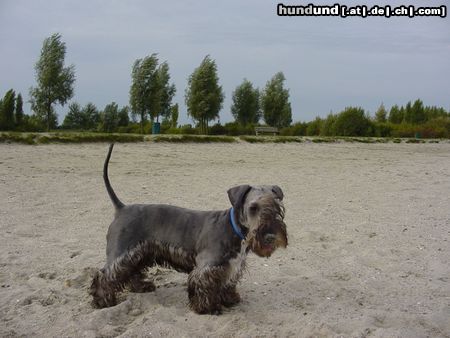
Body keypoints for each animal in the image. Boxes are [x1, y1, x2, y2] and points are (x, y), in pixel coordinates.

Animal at [90, 143, 288, 314]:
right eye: (253, 207)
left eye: (278, 208)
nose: (271, 236)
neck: (234, 229)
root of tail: (121, 208)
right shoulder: (206, 267)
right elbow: (204, 286)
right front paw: (208, 308)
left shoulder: (231, 266)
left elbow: (227, 283)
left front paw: (230, 298)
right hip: (122, 252)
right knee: (105, 275)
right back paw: (102, 301)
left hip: (136, 253)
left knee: (131, 271)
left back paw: (142, 286)